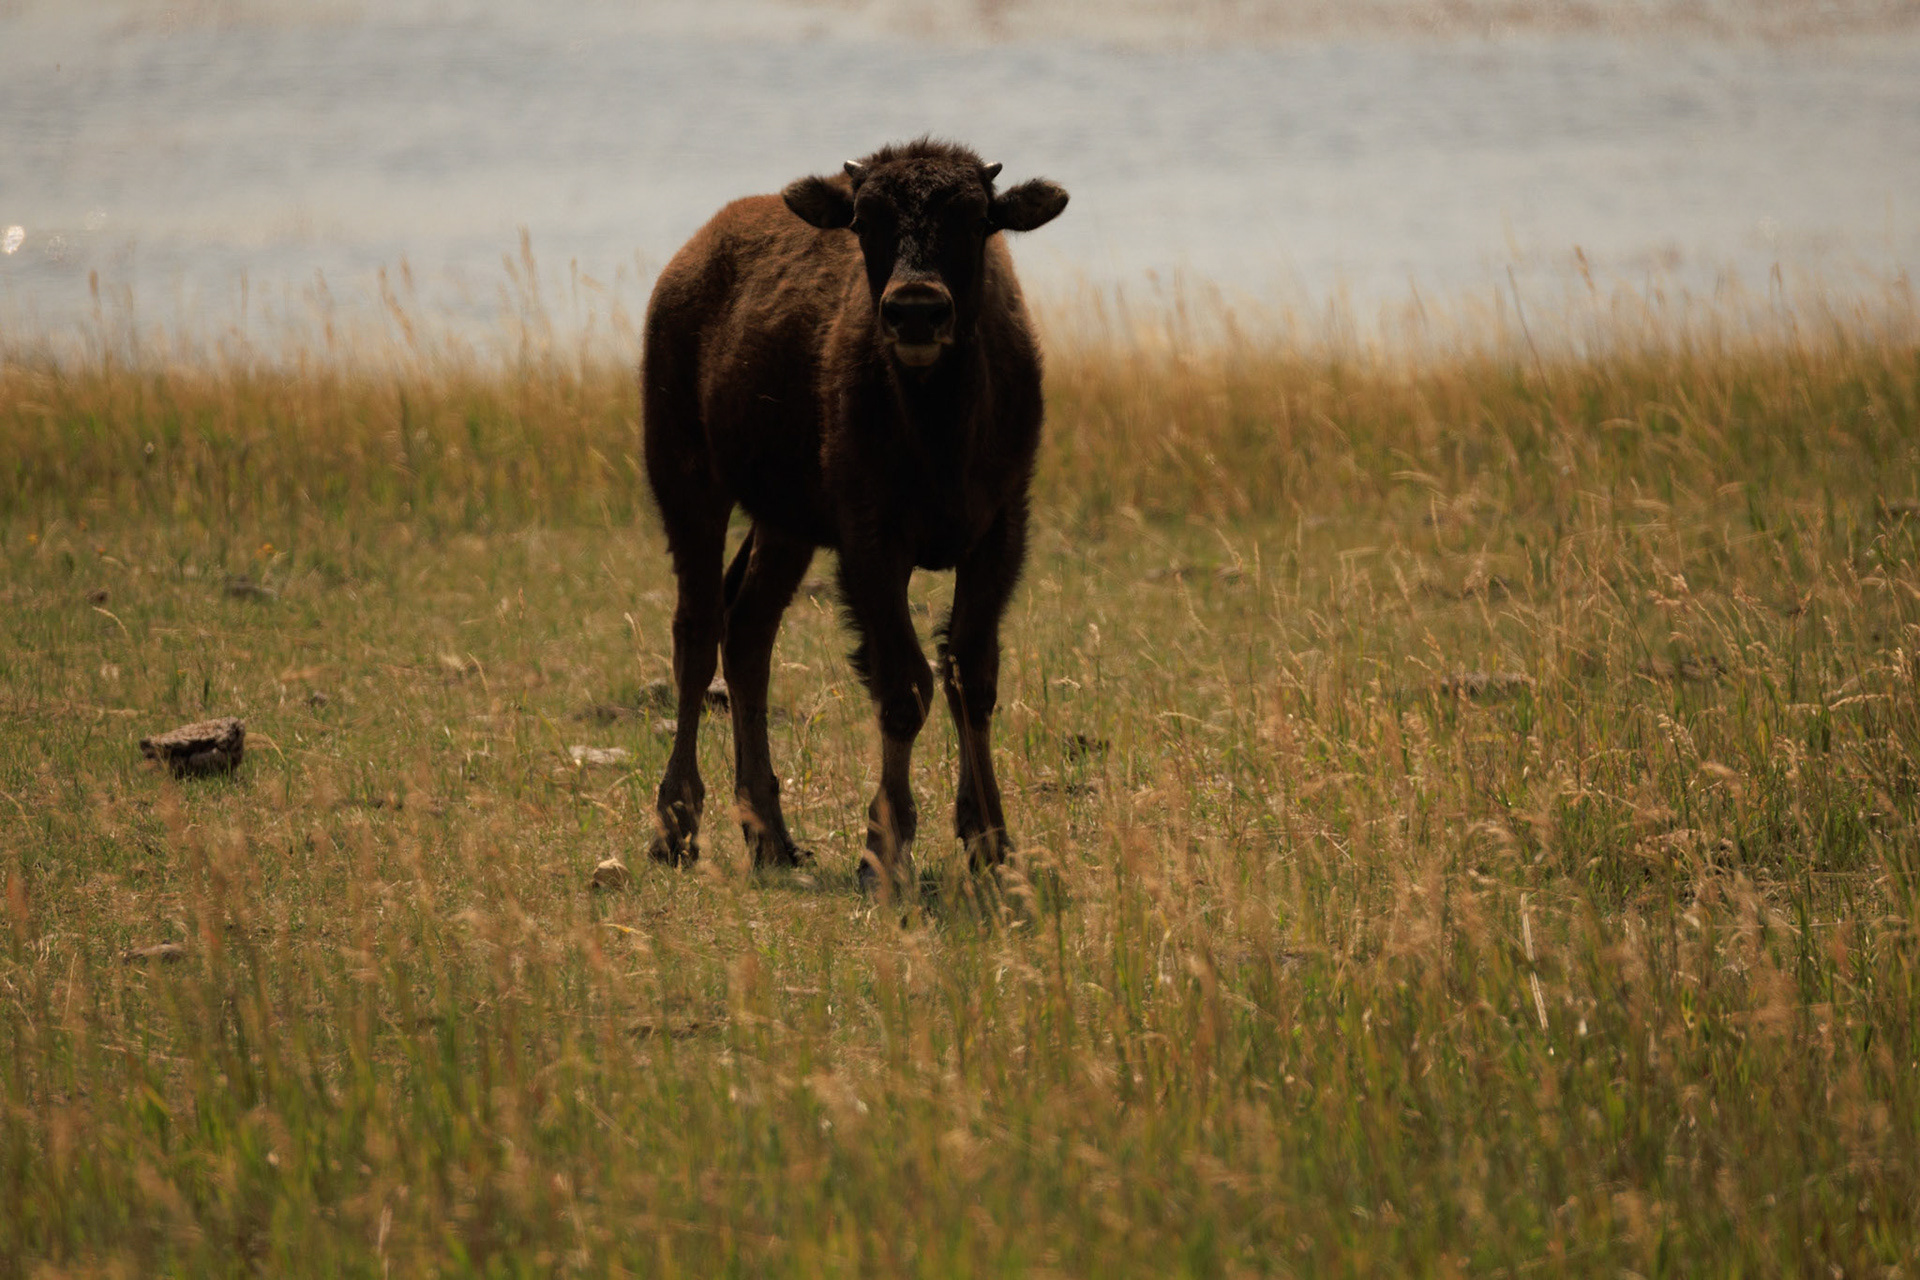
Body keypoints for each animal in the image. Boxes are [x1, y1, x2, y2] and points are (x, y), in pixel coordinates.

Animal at [640, 138, 1068, 895]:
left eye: (975, 221)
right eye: (866, 221)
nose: (916, 311)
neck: (936, 424)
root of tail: (686, 265)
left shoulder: (997, 535)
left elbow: (970, 677)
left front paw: (992, 845)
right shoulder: (871, 545)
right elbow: (904, 686)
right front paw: (883, 852)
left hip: (784, 528)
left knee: (748, 632)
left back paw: (771, 837)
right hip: (689, 485)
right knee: (697, 632)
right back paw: (676, 829)